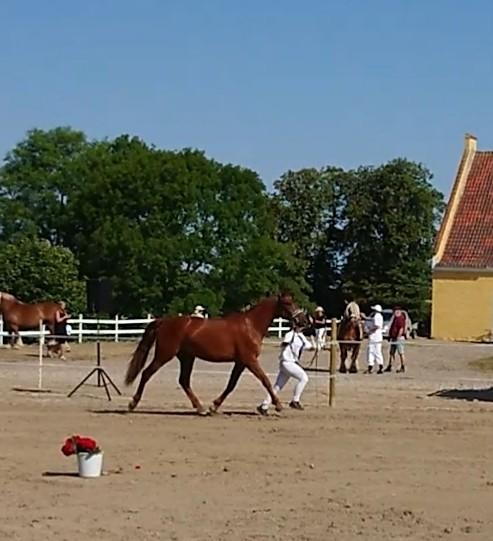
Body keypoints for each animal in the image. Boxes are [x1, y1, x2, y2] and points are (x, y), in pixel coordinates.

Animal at [125, 296, 306, 414]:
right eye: (288, 303)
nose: (303, 320)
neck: (251, 326)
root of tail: (164, 321)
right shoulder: (249, 360)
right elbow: (265, 380)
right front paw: (277, 405)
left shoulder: (241, 362)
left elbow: (231, 384)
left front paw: (214, 406)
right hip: (164, 354)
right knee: (147, 373)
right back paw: (132, 403)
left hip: (187, 357)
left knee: (184, 381)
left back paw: (200, 408)